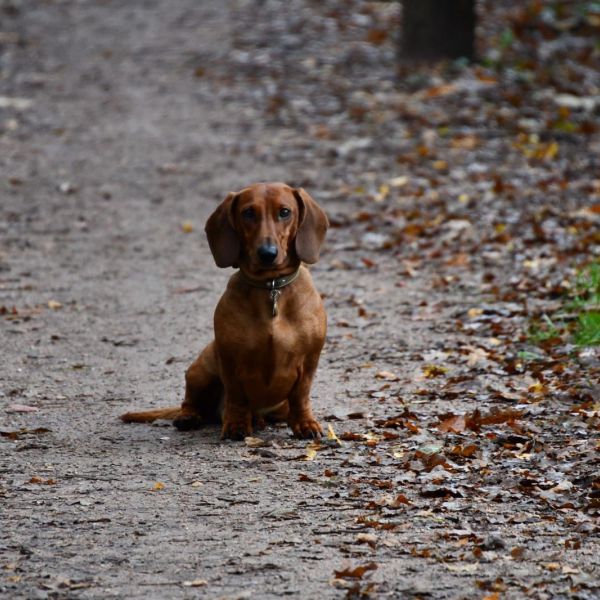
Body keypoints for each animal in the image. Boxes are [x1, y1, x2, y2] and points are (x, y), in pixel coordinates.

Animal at [121, 183, 328, 440]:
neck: (271, 287)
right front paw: (236, 425)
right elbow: (237, 397)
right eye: (248, 213)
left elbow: (301, 396)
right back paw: (189, 417)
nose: (267, 253)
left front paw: (305, 423)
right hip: (201, 369)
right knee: (190, 402)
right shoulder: (230, 359)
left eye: (285, 212)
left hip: (278, 406)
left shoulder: (309, 361)